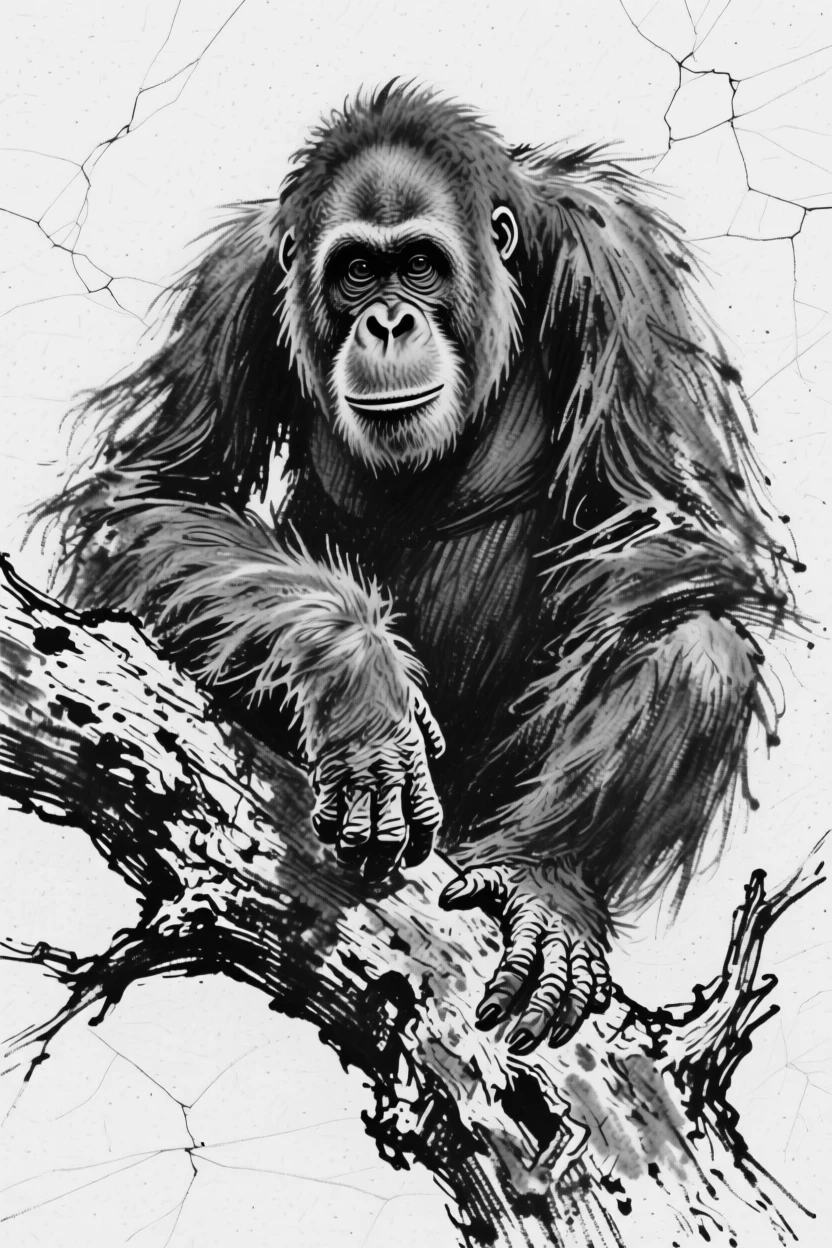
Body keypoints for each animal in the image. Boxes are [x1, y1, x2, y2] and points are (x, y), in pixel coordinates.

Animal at [44, 83, 792, 1055]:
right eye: (358, 270)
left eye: (421, 266)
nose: (389, 320)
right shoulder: (235, 280)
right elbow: (153, 495)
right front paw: (361, 688)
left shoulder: (614, 259)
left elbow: (667, 522)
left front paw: (545, 870)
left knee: (697, 644)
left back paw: (545, 882)